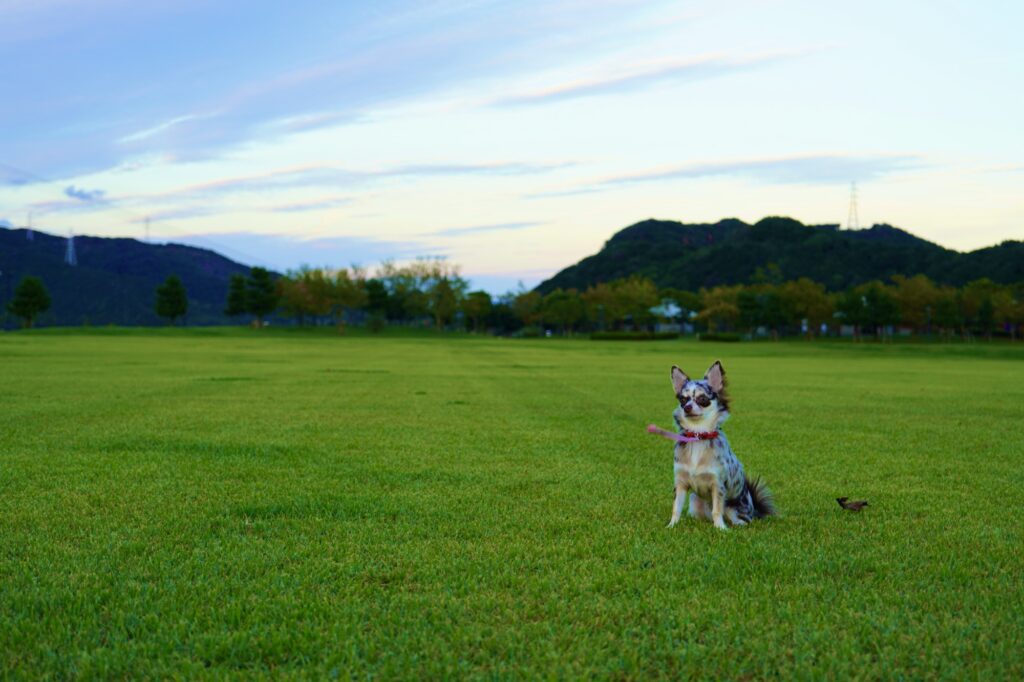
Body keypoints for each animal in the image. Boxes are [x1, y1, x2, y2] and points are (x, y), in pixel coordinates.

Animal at [667, 358, 770, 528]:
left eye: (702, 399)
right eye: (683, 399)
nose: (687, 407)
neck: (698, 435)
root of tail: (754, 510)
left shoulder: (718, 486)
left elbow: (717, 510)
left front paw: (720, 528)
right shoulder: (680, 483)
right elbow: (676, 508)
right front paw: (671, 526)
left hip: (732, 508)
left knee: (737, 518)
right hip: (695, 500)